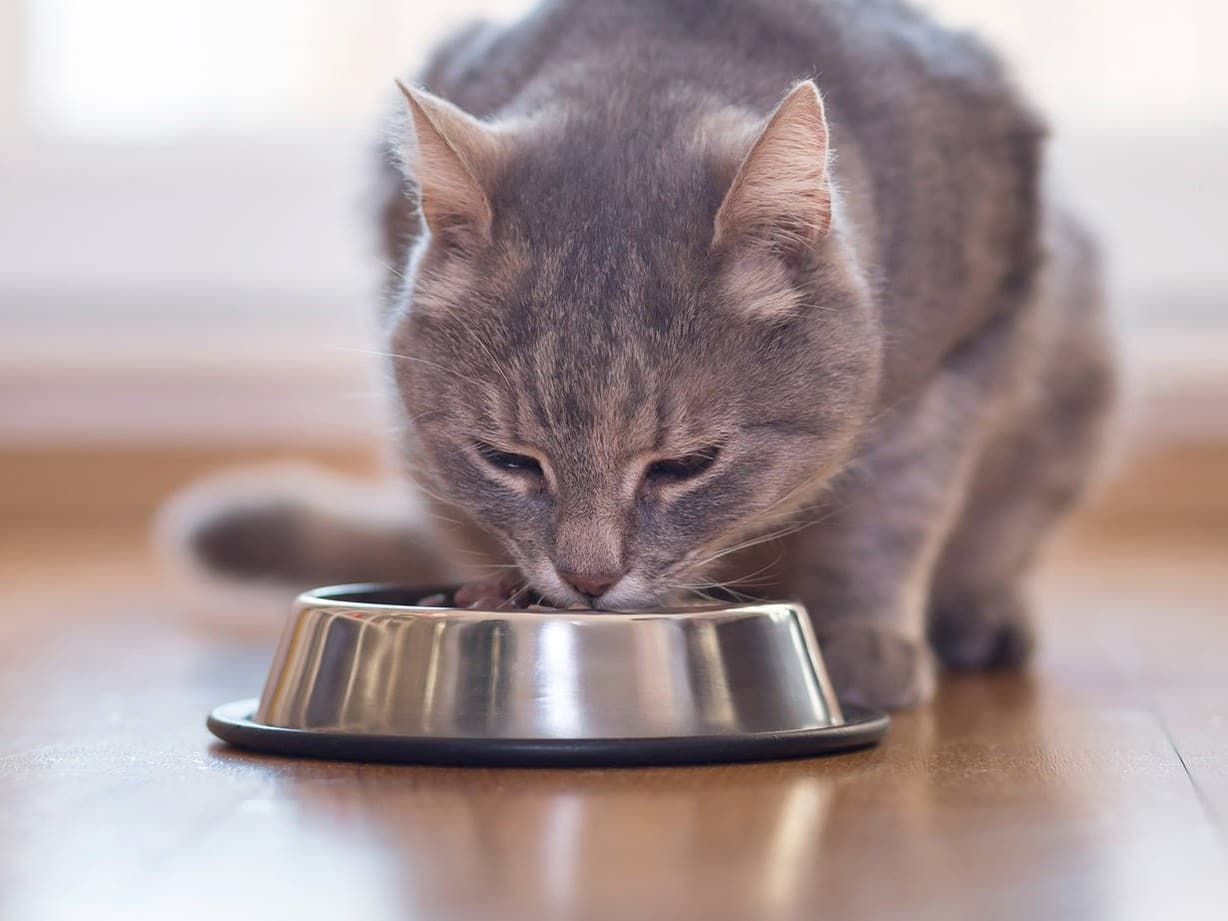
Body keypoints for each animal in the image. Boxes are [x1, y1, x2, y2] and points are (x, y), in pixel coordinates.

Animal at [168, 0, 1119, 712]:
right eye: (509, 460)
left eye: (687, 465)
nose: (587, 579)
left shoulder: (965, 349)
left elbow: (893, 511)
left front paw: (861, 641)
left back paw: (979, 616)